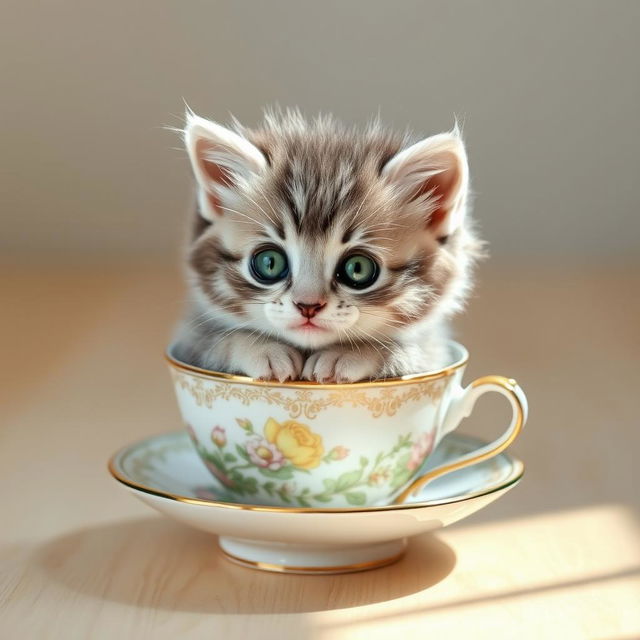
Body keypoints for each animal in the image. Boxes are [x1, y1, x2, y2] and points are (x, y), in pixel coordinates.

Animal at [172, 107, 482, 382]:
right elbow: (218, 340)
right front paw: (262, 349)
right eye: (269, 262)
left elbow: (405, 350)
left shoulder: (434, 349)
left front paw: (347, 354)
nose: (308, 306)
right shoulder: (191, 341)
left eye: (358, 268)